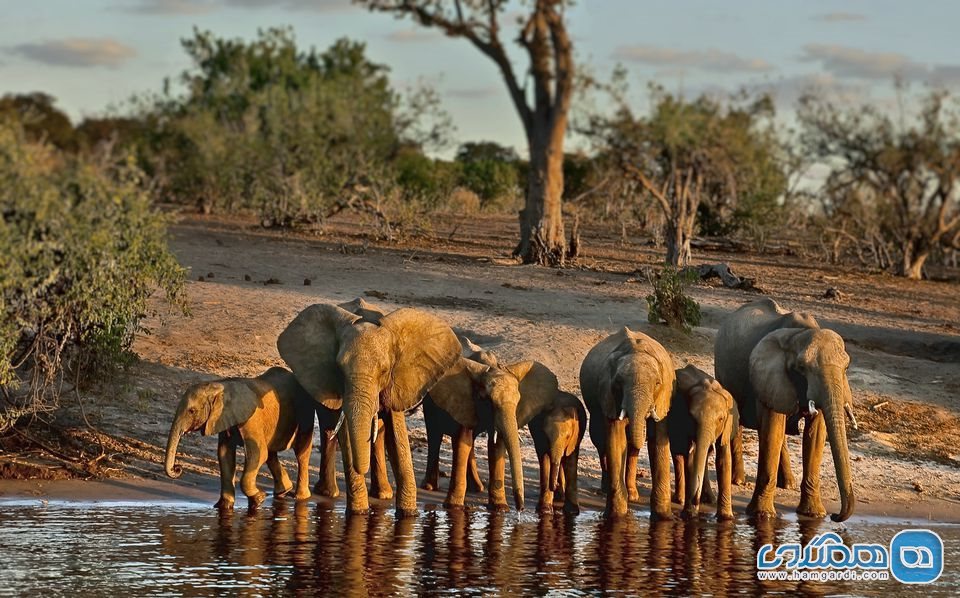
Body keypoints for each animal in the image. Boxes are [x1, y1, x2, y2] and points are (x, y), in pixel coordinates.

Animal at [164, 366, 316, 510]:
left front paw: (259, 499)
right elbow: (225, 455)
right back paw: (283, 491)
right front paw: (223, 506)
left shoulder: (251, 420)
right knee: (271, 454)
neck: (218, 387)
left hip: (305, 411)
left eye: (191, 411)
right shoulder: (224, 418)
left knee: (300, 453)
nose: (177, 468)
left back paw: (299, 497)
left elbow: (258, 454)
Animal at [278, 302, 462, 516]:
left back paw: (382, 494)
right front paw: (359, 513)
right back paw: (329, 493)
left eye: (384, 370)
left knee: (378, 433)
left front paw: (408, 515)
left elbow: (397, 437)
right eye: (339, 369)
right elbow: (347, 436)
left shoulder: (397, 382)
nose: (361, 469)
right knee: (328, 428)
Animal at [576, 328, 676, 520]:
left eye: (657, 383)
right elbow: (616, 438)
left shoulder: (664, 396)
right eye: (618, 383)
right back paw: (606, 489)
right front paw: (615, 516)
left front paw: (664, 517)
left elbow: (657, 438)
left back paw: (633, 495)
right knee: (600, 439)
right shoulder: (608, 393)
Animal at [668, 364, 744, 524]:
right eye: (691, 417)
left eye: (721, 419)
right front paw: (689, 515)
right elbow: (689, 456)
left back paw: (708, 500)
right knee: (678, 452)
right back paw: (680, 499)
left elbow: (723, 459)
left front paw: (726, 518)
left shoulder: (727, 425)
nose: (695, 501)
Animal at [716, 298, 860, 524]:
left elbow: (815, 435)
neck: (799, 334)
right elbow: (772, 428)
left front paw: (814, 515)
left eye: (846, 367)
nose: (835, 515)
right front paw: (762, 515)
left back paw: (788, 484)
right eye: (801, 367)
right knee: (738, 422)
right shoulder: (770, 375)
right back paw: (738, 480)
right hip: (723, 371)